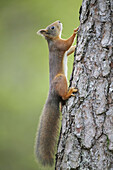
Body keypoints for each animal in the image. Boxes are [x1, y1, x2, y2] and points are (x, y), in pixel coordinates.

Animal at [34, 20, 78, 166]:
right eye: (52, 27)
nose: (59, 21)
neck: (52, 40)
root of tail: (52, 93)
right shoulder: (59, 46)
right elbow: (66, 44)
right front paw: (76, 31)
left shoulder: (61, 47)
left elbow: (69, 49)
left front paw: (76, 46)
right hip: (61, 79)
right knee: (63, 94)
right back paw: (69, 92)